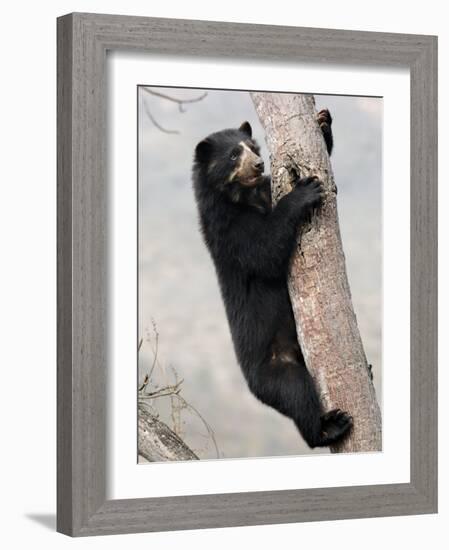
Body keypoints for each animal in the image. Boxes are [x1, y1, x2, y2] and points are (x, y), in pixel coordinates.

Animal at [191, 109, 352, 448]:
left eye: (254, 147)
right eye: (233, 154)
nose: (258, 164)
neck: (244, 196)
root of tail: (252, 386)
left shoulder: (264, 190)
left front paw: (323, 123)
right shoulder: (229, 230)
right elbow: (265, 251)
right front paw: (305, 191)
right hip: (276, 369)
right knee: (297, 394)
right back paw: (329, 428)